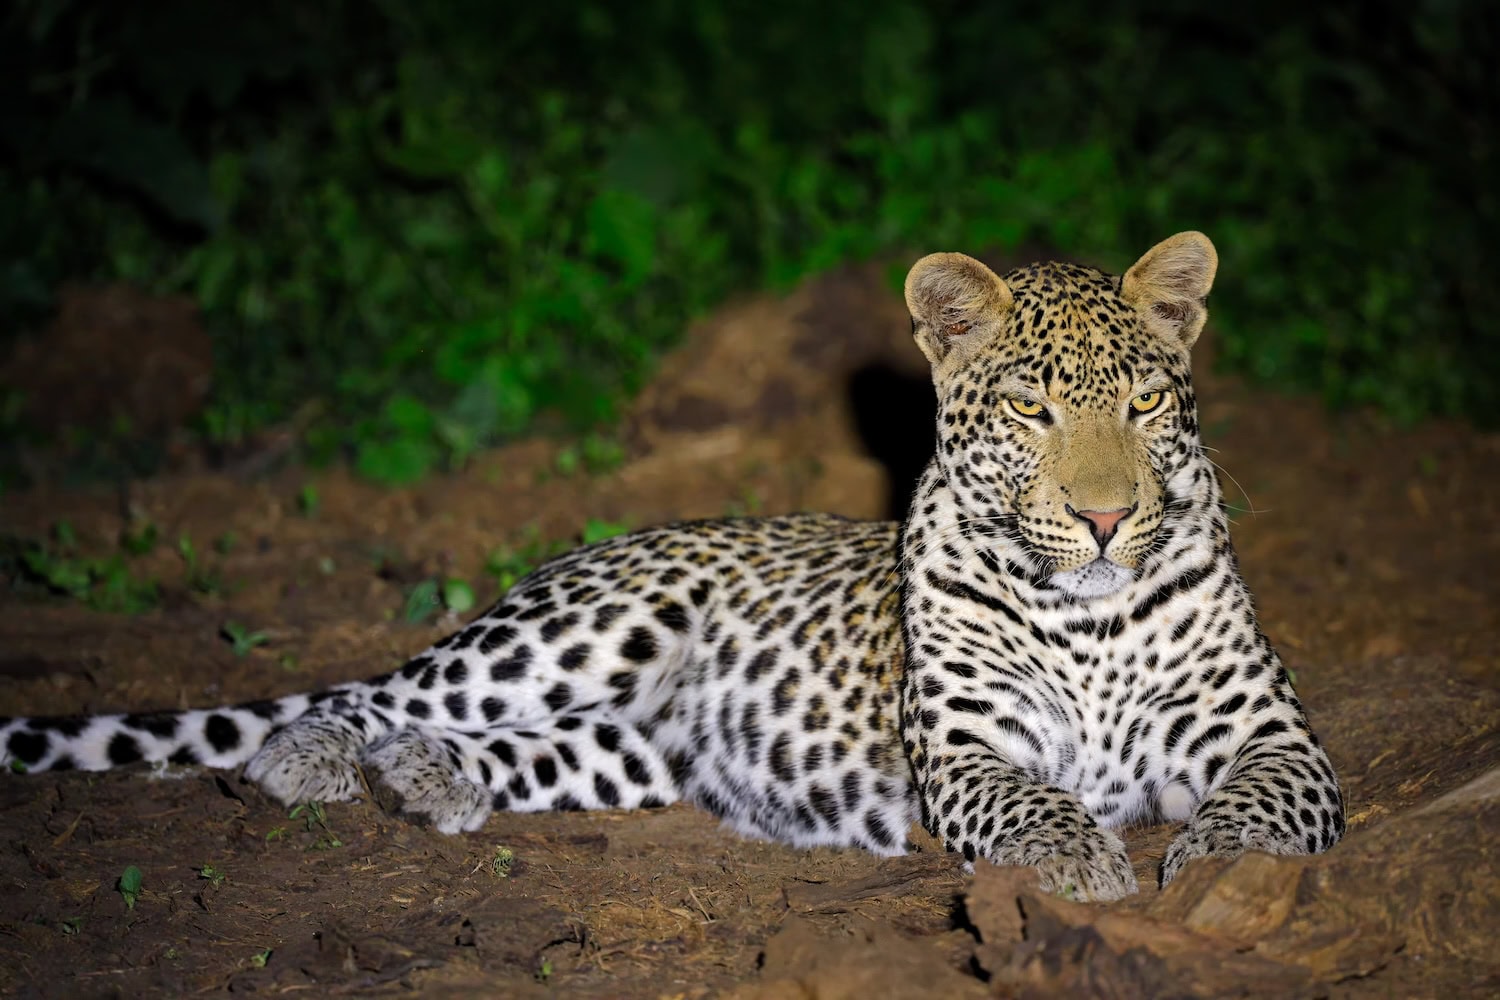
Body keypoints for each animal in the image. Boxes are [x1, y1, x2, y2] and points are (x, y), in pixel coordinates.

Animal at [0, 232, 1344, 901]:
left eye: (1145, 401)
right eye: (1028, 410)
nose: (1109, 517)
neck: (1090, 619)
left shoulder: (1275, 735)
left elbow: (1263, 804)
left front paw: (1214, 866)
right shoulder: (969, 751)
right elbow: (1033, 799)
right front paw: (1082, 863)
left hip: (634, 745)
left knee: (510, 749)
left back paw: (430, 778)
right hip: (576, 633)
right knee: (369, 692)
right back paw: (311, 757)